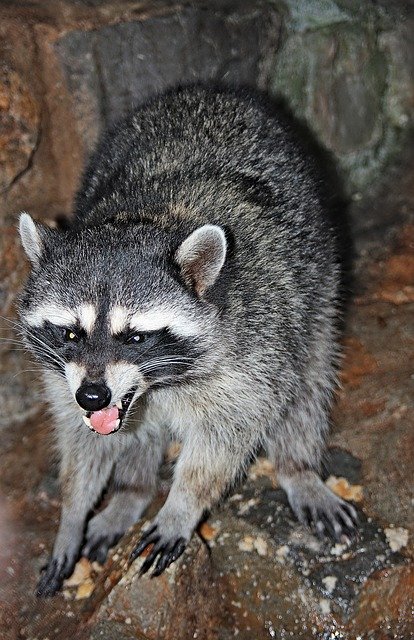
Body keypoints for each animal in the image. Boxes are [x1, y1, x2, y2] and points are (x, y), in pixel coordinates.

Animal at [17, 84, 358, 596]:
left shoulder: (256, 343)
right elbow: (84, 439)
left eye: (136, 336)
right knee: (138, 436)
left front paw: (182, 505)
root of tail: (212, 89)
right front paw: (72, 513)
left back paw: (297, 467)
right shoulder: (64, 377)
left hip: (317, 281)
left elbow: (227, 436)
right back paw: (132, 493)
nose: (93, 395)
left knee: (308, 381)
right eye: (71, 333)